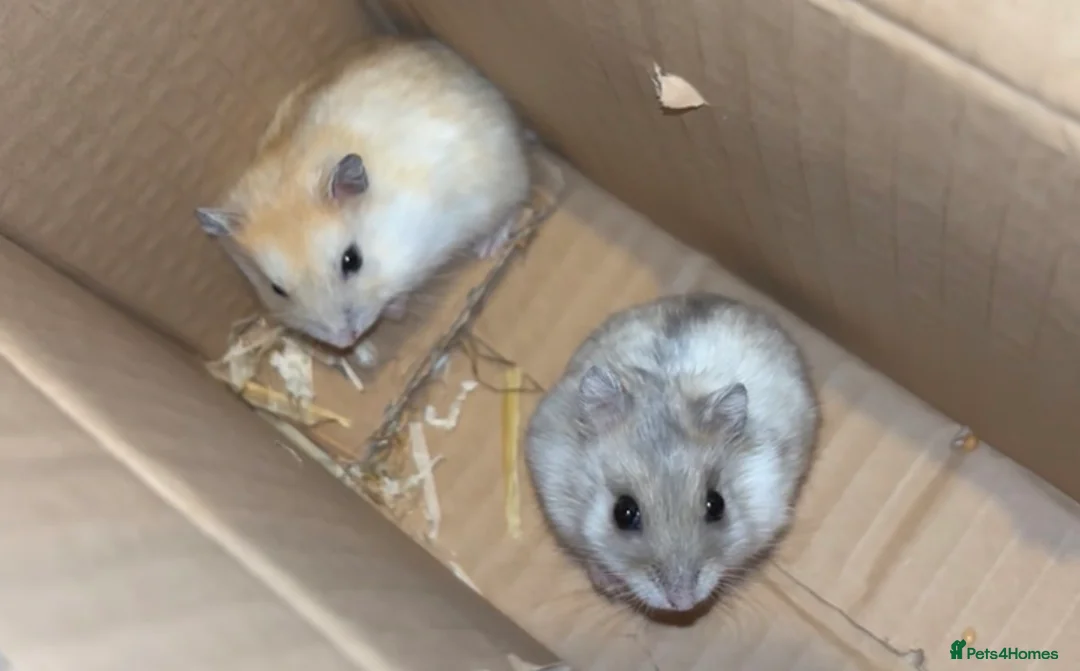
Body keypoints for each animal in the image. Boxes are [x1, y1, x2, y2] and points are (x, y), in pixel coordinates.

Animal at [194, 37, 531, 351]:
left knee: (512, 207)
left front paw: (394, 310)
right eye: (276, 289)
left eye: (351, 260)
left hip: (501, 183)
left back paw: (486, 248)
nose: (346, 341)